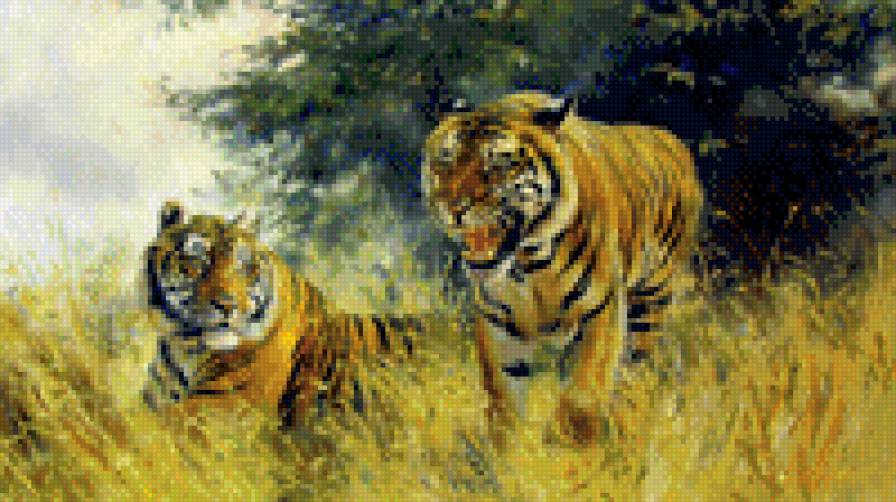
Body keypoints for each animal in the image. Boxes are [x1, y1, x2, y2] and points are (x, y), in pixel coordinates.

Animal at [421, 91, 704, 445]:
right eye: (446, 159)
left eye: (498, 162)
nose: (452, 207)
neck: (526, 263)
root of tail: (670, 138)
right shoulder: (497, 318)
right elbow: (503, 395)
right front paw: (506, 452)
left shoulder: (601, 309)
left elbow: (582, 395)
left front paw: (569, 451)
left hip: (651, 301)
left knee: (635, 373)